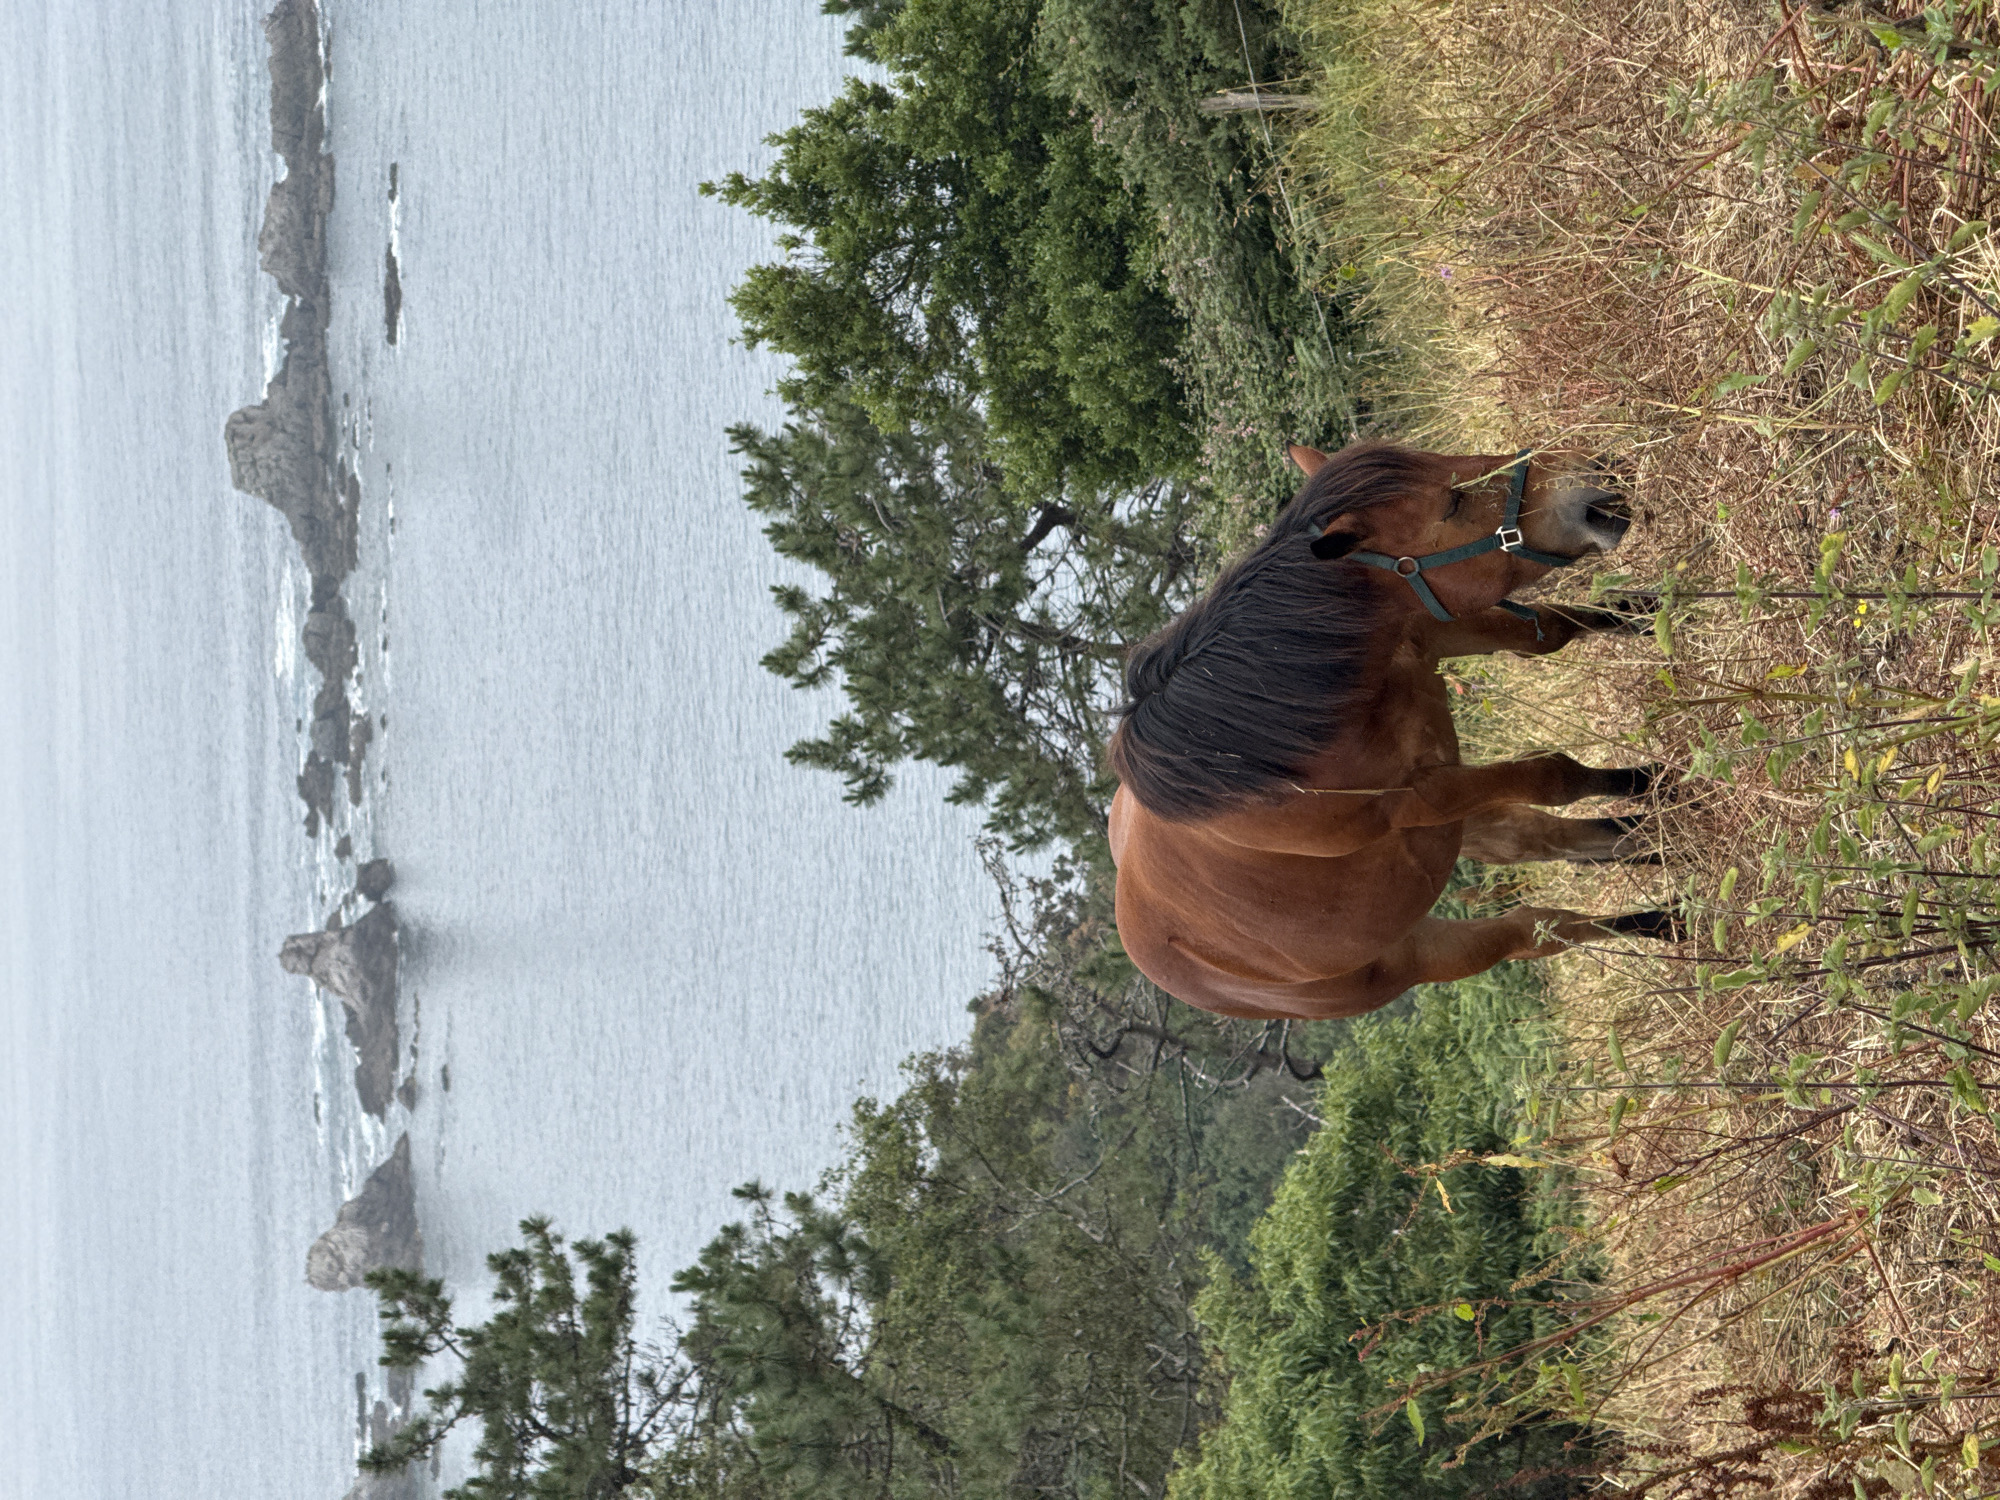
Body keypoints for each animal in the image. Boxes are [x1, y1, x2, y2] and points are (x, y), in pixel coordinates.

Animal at [1106, 439, 1680, 1021]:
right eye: (1452, 504)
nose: (1595, 477)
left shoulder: (1434, 630)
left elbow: (1564, 628)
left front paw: (1667, 608)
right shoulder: (1425, 797)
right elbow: (1555, 776)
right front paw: (1659, 784)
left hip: (1460, 830)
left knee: (1545, 842)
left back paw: (1662, 852)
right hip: (1420, 950)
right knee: (1535, 929)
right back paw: (1663, 909)